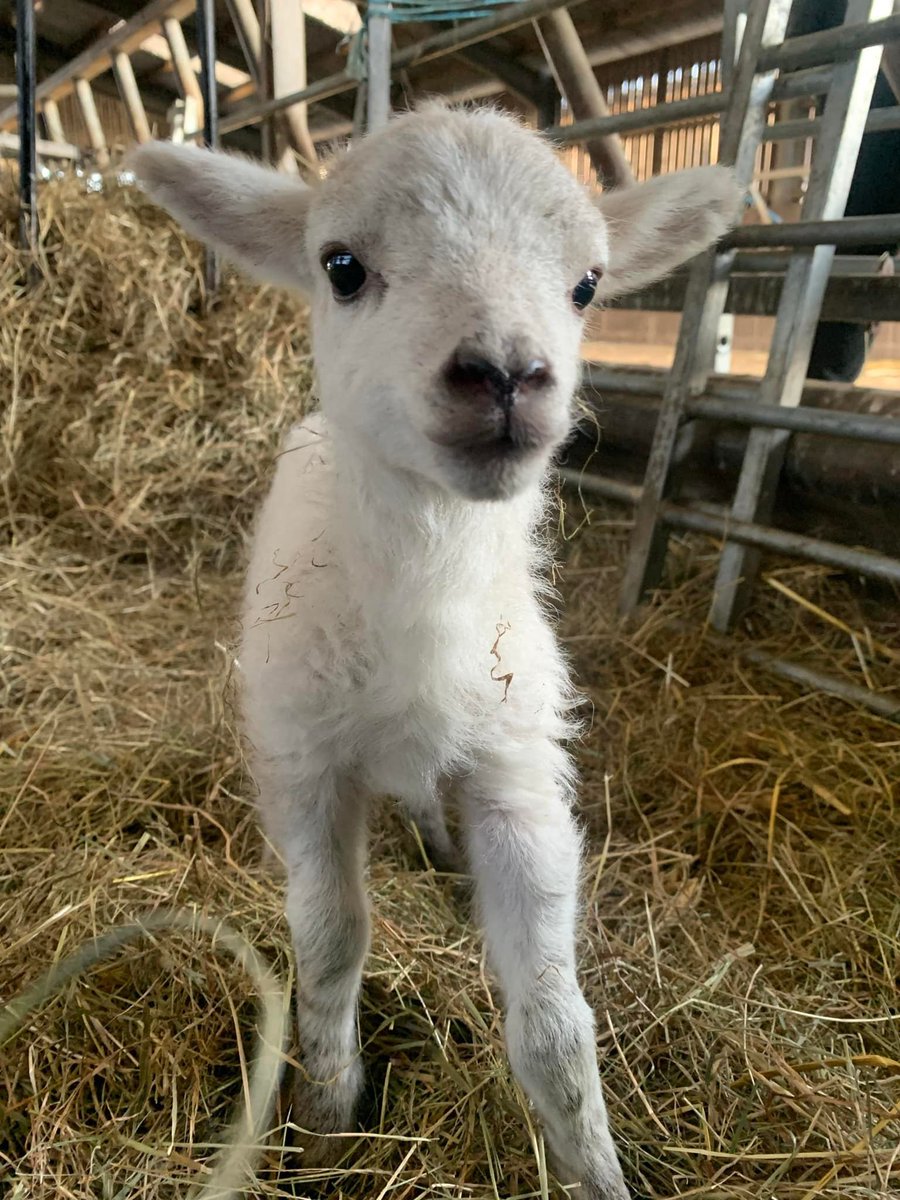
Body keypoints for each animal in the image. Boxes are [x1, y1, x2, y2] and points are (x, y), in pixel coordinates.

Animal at [131, 104, 738, 1200]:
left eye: (588, 284)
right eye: (340, 266)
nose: (504, 374)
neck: (426, 599)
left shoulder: (518, 777)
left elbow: (557, 1028)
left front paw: (596, 1171)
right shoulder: (307, 769)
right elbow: (332, 945)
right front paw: (330, 1119)